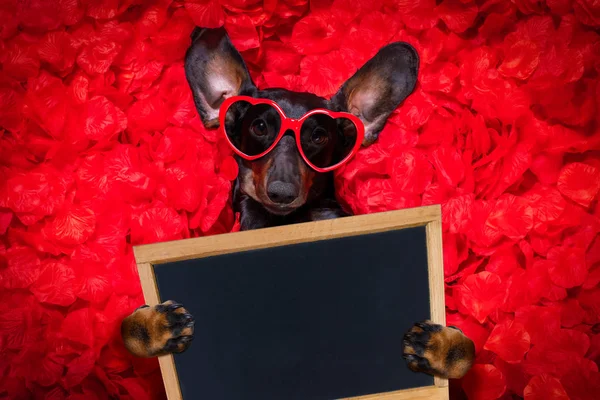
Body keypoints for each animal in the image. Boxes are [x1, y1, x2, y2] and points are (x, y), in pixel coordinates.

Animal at [122, 27, 476, 384]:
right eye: (259, 127)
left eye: (319, 136)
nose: (282, 192)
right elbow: (128, 326)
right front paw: (155, 325)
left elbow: (466, 349)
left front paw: (439, 346)